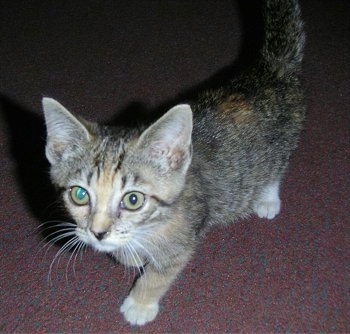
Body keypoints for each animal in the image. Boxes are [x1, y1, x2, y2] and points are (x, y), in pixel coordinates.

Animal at [41, 0, 304, 324]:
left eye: (132, 200)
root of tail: (271, 71)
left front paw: (140, 303)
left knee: (274, 168)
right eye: (79, 195)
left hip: (281, 145)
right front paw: (130, 254)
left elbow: (161, 272)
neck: (156, 222)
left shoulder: (185, 235)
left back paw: (267, 199)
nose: (98, 233)